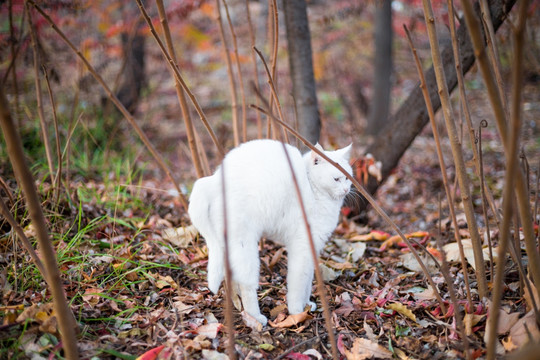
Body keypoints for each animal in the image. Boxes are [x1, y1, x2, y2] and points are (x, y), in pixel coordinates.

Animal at [188, 139, 352, 324]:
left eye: (347, 178)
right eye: (336, 179)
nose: (346, 189)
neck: (312, 188)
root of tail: (214, 180)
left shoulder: (311, 249)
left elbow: (308, 280)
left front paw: (307, 305)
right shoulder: (302, 248)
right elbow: (299, 282)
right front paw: (297, 311)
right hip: (246, 247)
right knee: (247, 285)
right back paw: (255, 318)